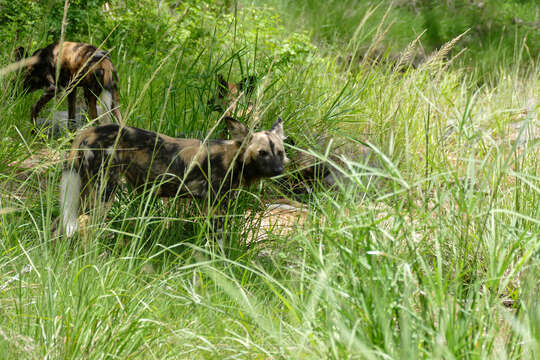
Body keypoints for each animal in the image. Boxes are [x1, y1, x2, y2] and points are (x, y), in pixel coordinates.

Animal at [59, 116, 288, 238]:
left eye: (280, 152)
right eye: (262, 153)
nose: (278, 170)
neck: (233, 159)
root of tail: (89, 131)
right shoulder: (215, 208)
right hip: (103, 195)